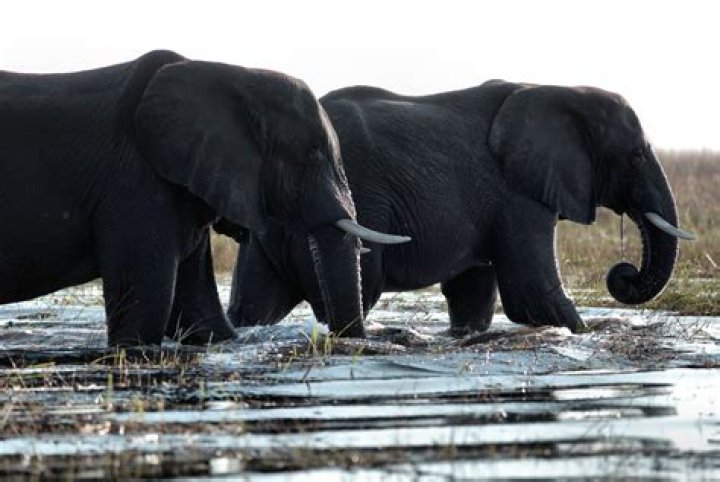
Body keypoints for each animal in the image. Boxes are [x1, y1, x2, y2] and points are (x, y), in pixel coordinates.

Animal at [0, 50, 408, 347]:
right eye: (311, 153)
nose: (339, 338)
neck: (233, 76)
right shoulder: (135, 183)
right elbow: (143, 315)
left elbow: (202, 320)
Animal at [228, 79, 695, 336]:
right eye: (635, 157)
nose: (623, 274)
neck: (557, 89)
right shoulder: (516, 195)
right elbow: (532, 296)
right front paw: (586, 333)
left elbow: (473, 296)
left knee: (254, 303)